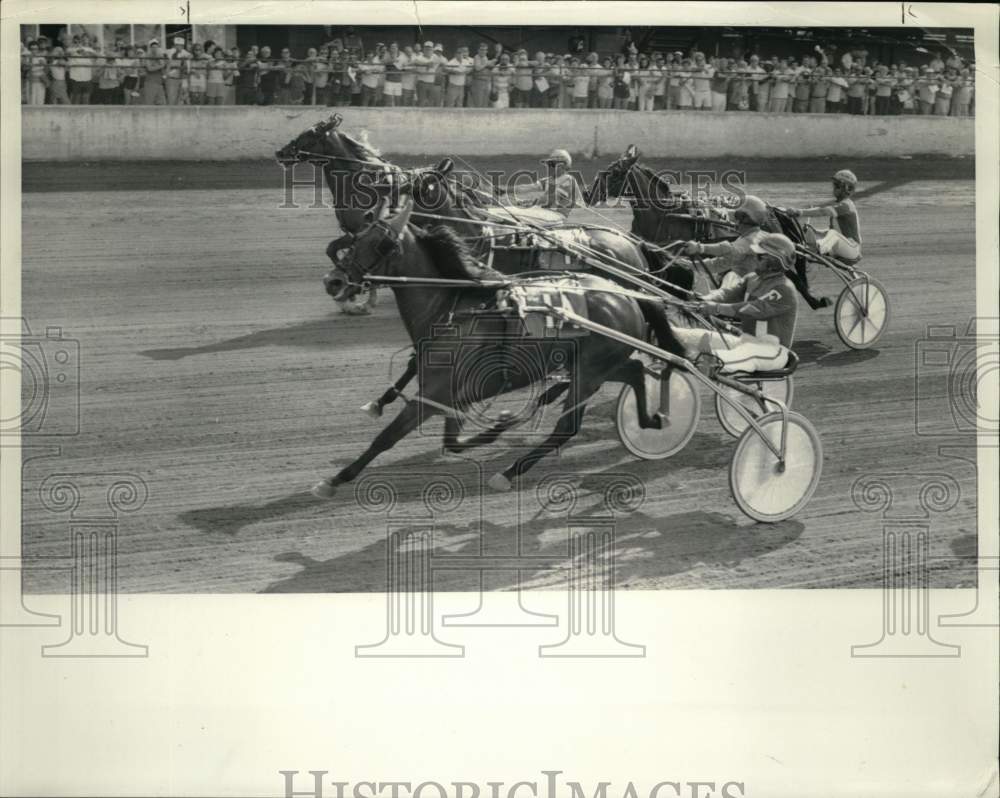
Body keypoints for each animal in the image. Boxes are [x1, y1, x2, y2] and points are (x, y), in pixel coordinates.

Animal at [312, 198, 688, 500]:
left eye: (383, 244)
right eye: (357, 238)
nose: (334, 281)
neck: (453, 309)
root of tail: (627, 294)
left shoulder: (433, 395)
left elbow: (387, 437)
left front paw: (334, 480)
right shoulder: (451, 396)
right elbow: (452, 441)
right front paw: (498, 426)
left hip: (591, 370)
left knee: (567, 426)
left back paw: (507, 473)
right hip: (601, 363)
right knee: (636, 371)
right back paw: (653, 418)